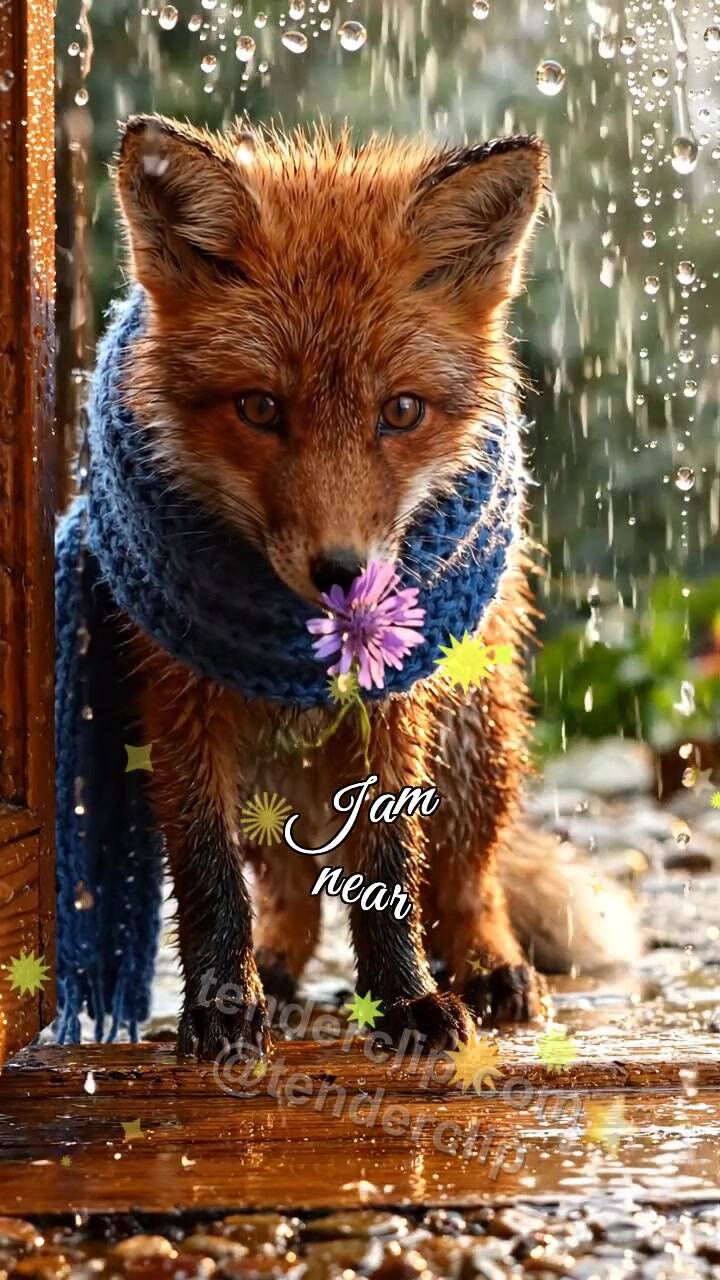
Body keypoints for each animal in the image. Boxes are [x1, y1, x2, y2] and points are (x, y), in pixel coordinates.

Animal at [114, 115, 639, 1061]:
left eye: (401, 411)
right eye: (259, 408)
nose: (342, 574)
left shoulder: (395, 703)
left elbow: (393, 864)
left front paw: (407, 1001)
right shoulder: (180, 701)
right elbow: (210, 880)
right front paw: (222, 1005)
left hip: (476, 740)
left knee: (466, 882)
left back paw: (490, 968)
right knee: (291, 885)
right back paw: (279, 965)